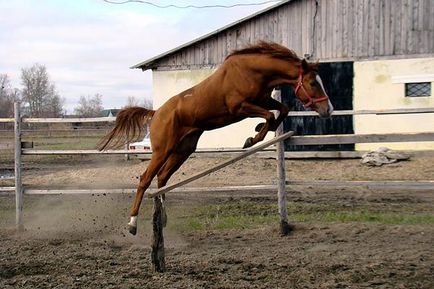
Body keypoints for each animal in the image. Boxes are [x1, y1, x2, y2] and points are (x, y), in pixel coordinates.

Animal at [100, 41, 334, 234]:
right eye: (313, 83)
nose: (328, 110)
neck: (252, 71)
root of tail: (156, 113)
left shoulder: (263, 100)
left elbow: (282, 109)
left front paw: (258, 131)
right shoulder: (240, 107)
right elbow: (269, 115)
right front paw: (252, 138)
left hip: (183, 150)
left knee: (163, 178)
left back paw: (163, 218)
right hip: (162, 150)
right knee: (145, 179)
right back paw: (132, 223)